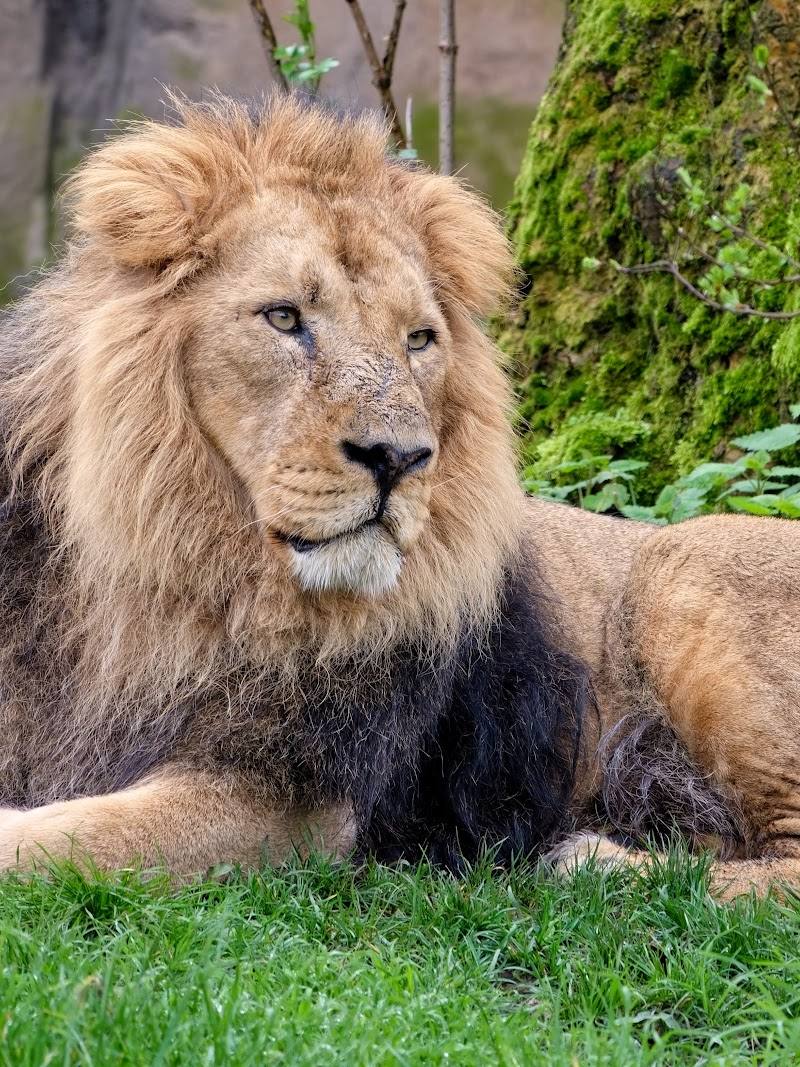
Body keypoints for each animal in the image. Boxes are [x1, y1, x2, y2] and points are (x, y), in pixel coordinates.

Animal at [0, 95, 798, 898]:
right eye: (284, 317)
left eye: (418, 339)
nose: (399, 457)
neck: (160, 573)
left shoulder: (287, 804)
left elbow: (71, 837)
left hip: (682, 558)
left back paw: (595, 861)